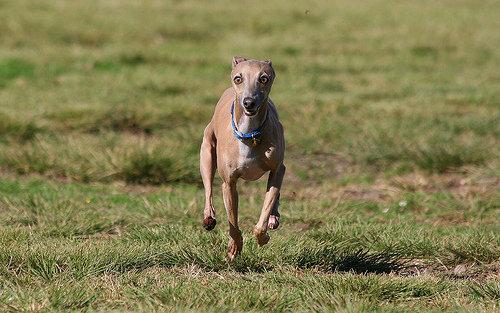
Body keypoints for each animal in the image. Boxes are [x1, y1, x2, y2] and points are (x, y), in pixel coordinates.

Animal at [199, 56, 286, 260]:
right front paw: (234, 249)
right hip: (206, 153)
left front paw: (263, 236)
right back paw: (208, 218)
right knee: (208, 189)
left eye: (263, 79)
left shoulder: (277, 169)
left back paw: (273, 217)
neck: (249, 134)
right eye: (238, 78)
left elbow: (264, 214)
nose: (249, 102)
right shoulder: (229, 183)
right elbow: (233, 224)